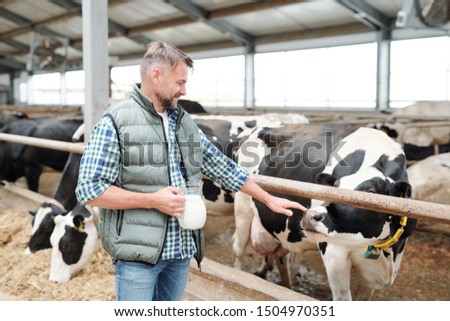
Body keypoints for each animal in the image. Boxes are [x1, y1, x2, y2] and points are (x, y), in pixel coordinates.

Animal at [234, 123, 416, 300]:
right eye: (334, 187)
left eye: (371, 192)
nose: (310, 216)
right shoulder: (334, 254)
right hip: (242, 206)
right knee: (239, 248)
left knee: (281, 257)